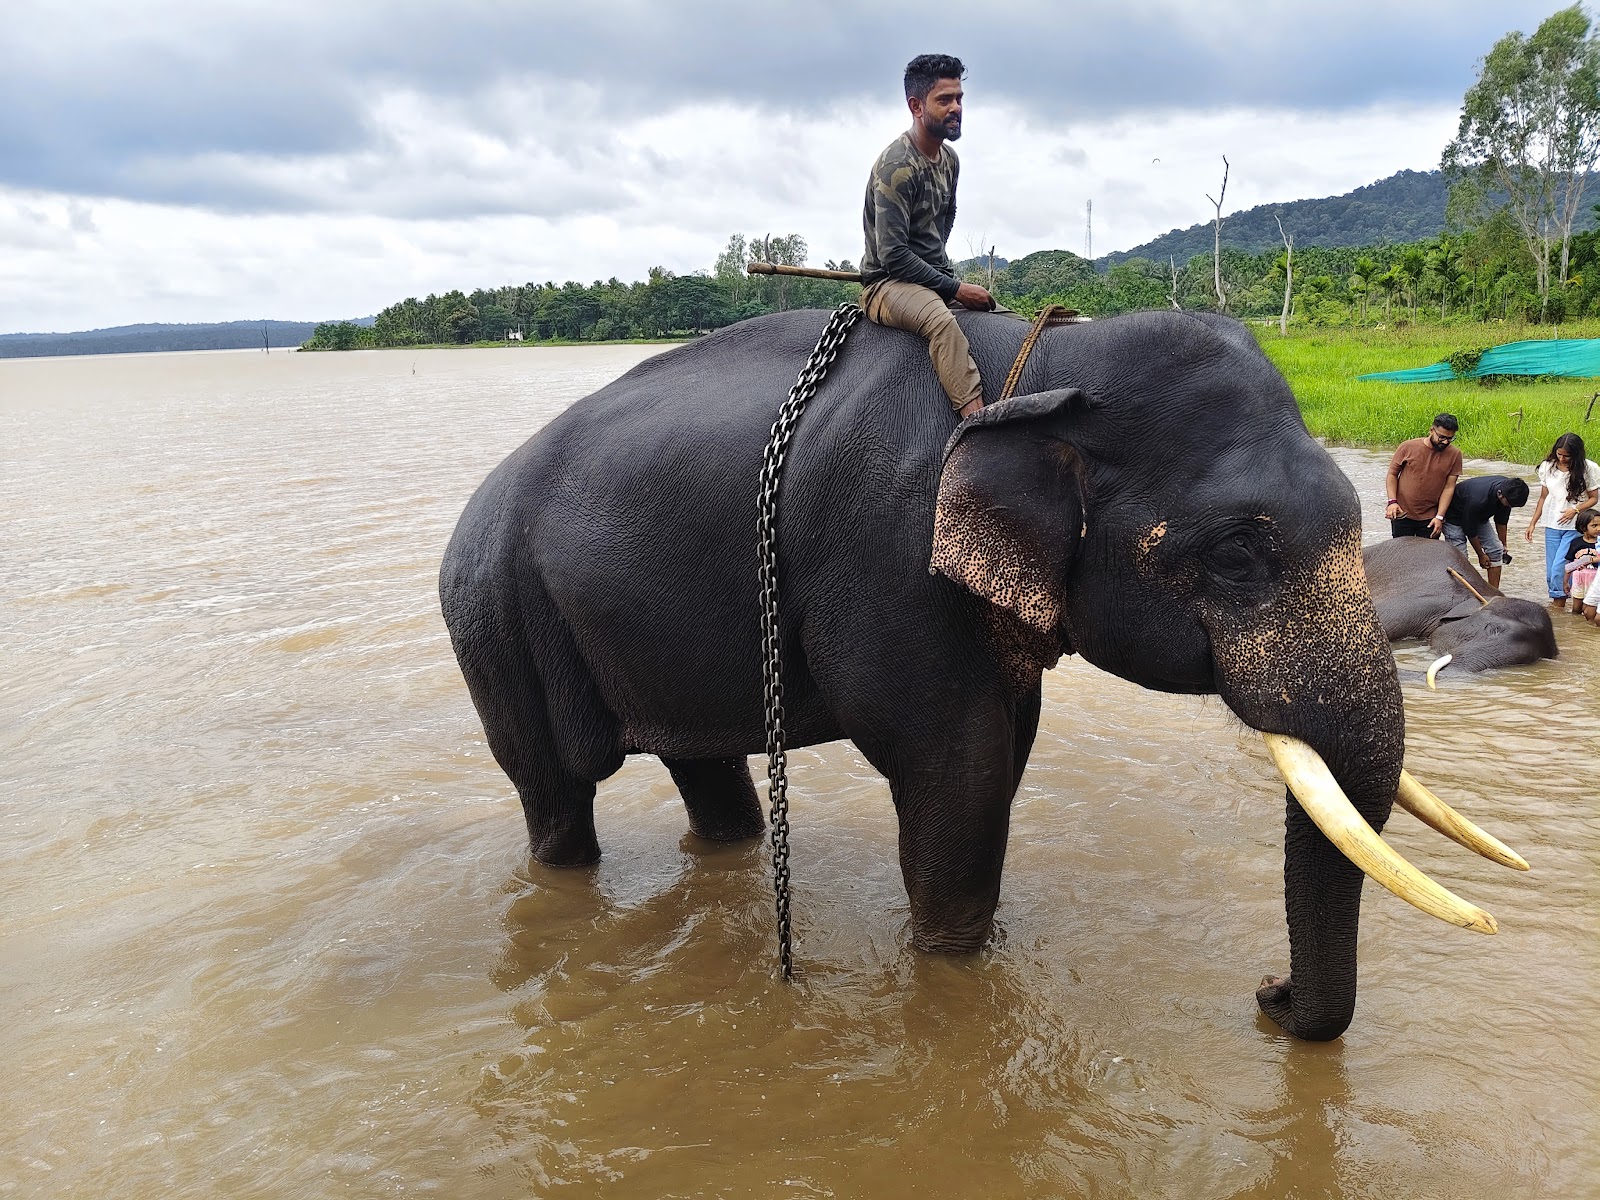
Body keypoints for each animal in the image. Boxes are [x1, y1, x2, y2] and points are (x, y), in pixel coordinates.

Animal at [440, 307, 1526, 1042]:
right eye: (1235, 557)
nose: (1266, 992)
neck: (1042, 370)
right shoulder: (890, 560)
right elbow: (952, 775)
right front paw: (950, 964)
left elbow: (1003, 757)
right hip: (493, 617)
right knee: (554, 790)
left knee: (703, 773)